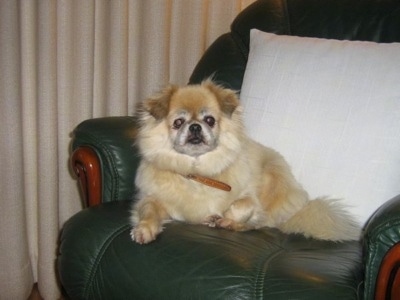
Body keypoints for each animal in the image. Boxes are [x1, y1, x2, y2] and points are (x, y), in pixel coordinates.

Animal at [130, 79, 360, 244]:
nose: (195, 127)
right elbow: (148, 211)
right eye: (178, 123)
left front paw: (223, 218)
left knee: (264, 223)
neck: (198, 171)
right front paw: (144, 229)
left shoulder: (249, 198)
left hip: (272, 175)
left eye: (210, 120)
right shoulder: (152, 199)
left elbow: (243, 206)